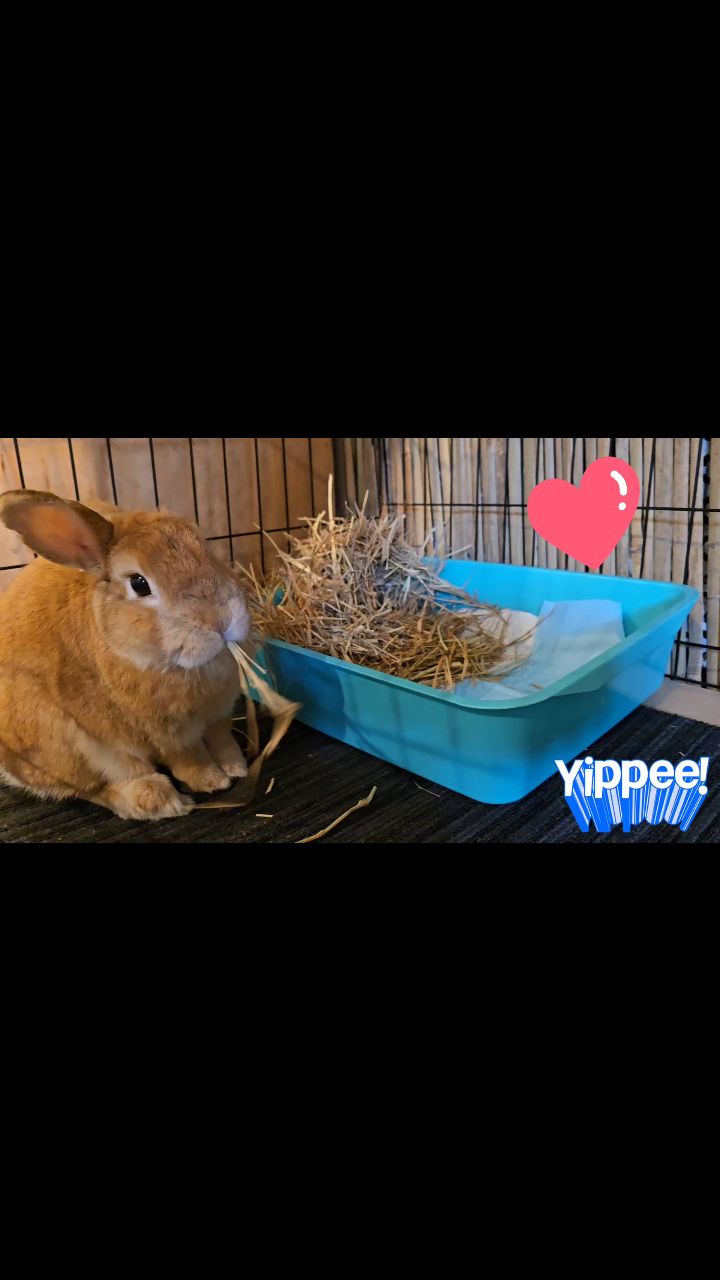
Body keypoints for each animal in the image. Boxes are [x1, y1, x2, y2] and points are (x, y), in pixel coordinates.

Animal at [0, 488, 251, 820]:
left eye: (205, 546)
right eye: (139, 584)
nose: (221, 619)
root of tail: (9, 765)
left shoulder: (218, 719)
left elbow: (223, 741)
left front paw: (237, 768)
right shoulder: (170, 736)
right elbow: (190, 760)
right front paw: (214, 782)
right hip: (64, 743)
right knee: (94, 788)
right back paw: (158, 799)